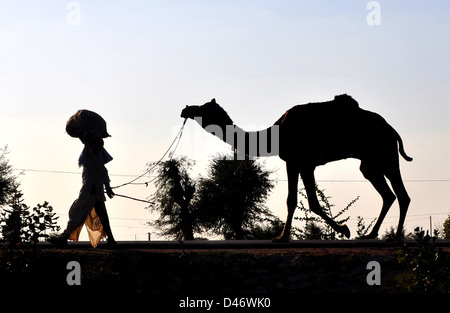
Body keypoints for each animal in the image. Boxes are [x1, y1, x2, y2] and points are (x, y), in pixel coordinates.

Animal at [179, 95, 412, 241]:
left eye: (203, 108)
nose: (185, 109)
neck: (275, 135)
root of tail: (393, 130)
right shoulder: (304, 165)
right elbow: (311, 202)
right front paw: (344, 229)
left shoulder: (295, 161)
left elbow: (295, 200)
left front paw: (282, 238)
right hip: (371, 163)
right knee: (389, 194)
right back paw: (372, 234)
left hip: (385, 154)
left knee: (402, 195)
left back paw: (396, 237)